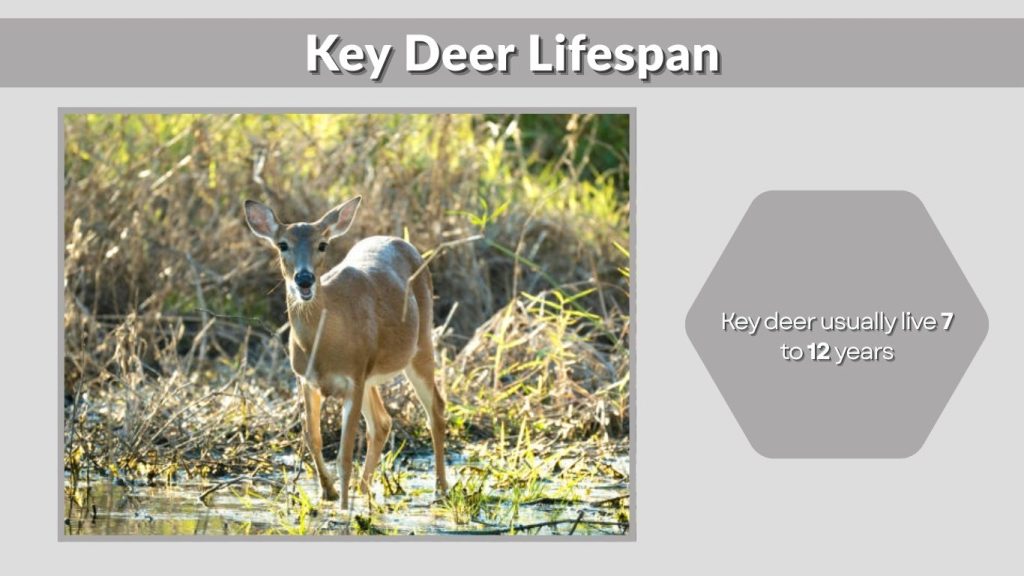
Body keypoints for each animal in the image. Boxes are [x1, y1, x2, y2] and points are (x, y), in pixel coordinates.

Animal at [243, 196, 448, 509]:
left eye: (322, 244)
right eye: (282, 244)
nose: (304, 279)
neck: (323, 345)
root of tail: (403, 243)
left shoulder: (354, 377)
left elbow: (344, 456)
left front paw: (341, 508)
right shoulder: (306, 379)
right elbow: (312, 437)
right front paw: (327, 493)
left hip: (421, 345)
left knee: (435, 408)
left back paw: (440, 491)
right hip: (372, 375)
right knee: (382, 422)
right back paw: (364, 491)